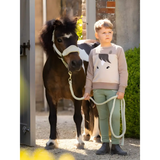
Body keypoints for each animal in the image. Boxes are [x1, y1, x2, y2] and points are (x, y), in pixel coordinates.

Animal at [39, 15, 100, 149]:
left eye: (76, 37)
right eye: (59, 39)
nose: (76, 63)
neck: (61, 72)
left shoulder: (76, 95)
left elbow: (77, 117)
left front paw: (79, 142)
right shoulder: (50, 96)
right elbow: (52, 118)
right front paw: (51, 141)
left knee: (96, 111)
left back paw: (96, 136)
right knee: (87, 109)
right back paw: (87, 135)